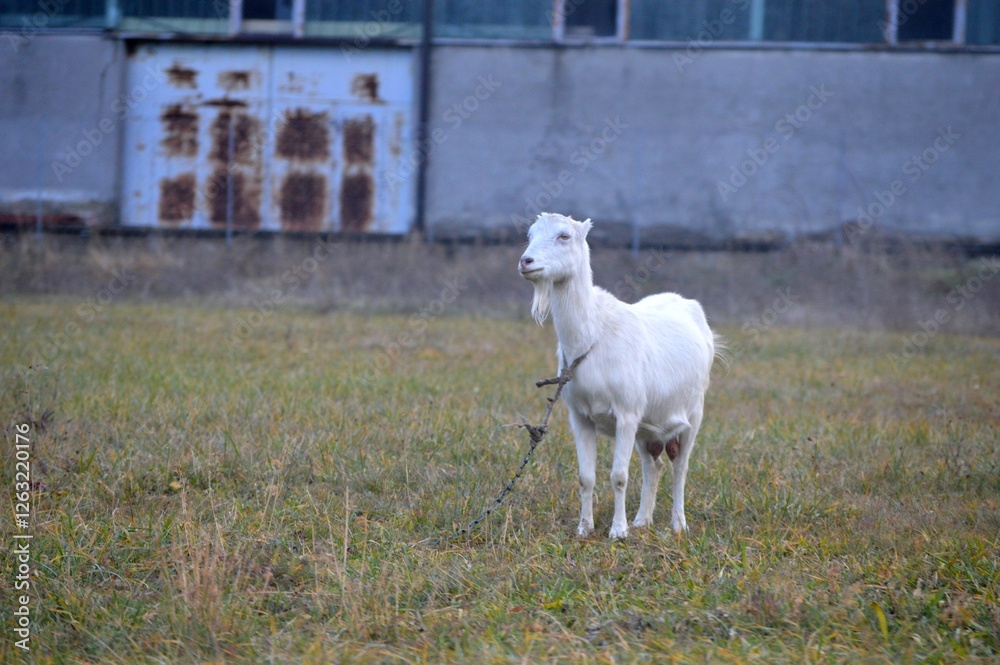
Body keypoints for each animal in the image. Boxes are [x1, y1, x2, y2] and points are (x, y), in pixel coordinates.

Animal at [518, 213, 717, 539]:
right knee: (654, 466)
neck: (592, 336)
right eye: (530, 234)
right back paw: (643, 520)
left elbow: (619, 475)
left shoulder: (626, 412)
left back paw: (678, 523)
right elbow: (586, 476)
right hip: (647, 426)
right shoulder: (581, 416)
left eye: (564, 236)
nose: (526, 261)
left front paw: (618, 531)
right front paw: (584, 528)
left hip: (693, 412)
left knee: (680, 467)